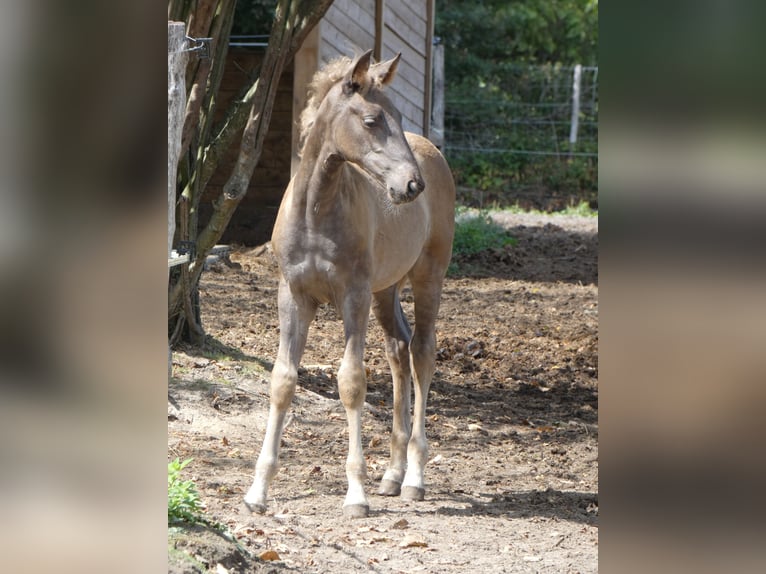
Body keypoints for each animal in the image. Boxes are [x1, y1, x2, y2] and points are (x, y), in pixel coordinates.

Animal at [244, 50, 455, 518]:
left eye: (398, 116)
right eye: (373, 119)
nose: (412, 185)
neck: (316, 211)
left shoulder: (352, 296)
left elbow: (352, 382)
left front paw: (355, 493)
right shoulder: (293, 295)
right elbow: (283, 381)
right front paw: (258, 490)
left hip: (427, 276)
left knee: (422, 351)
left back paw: (414, 478)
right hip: (385, 289)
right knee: (398, 349)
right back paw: (392, 474)